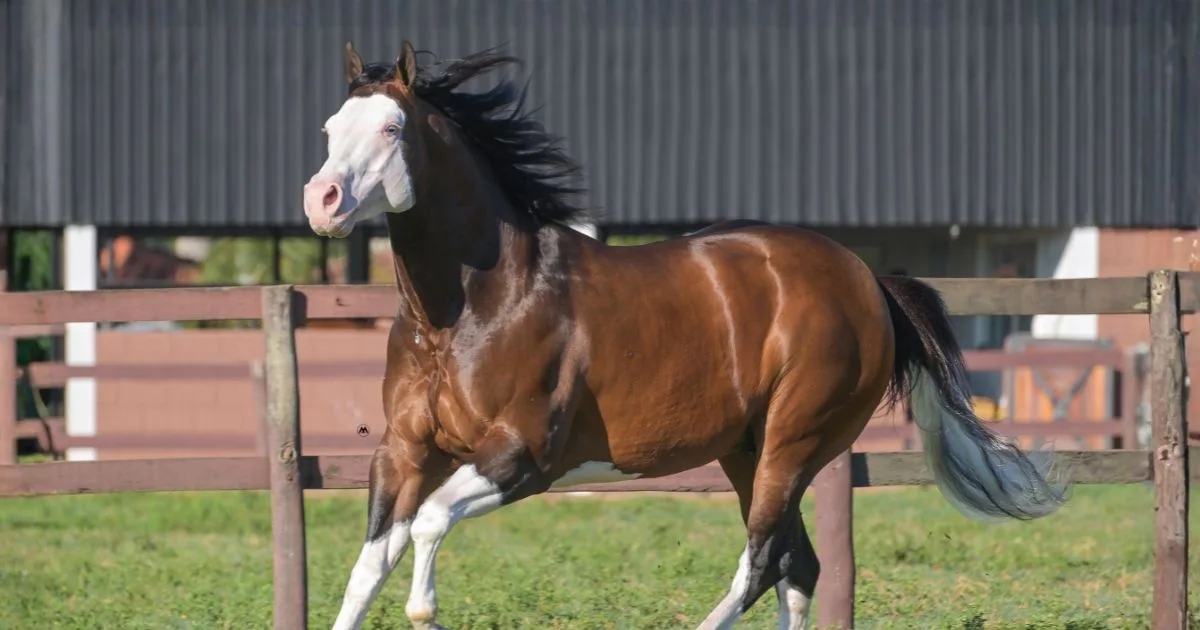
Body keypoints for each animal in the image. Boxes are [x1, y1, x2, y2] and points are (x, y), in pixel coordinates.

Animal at [301, 41, 1070, 630]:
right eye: (330, 127)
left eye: (392, 128)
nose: (322, 202)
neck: (473, 309)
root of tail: (868, 281)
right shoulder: (405, 452)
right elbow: (368, 567)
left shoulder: (524, 455)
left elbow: (428, 525)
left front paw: (425, 609)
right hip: (746, 451)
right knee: (799, 567)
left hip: (793, 444)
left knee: (763, 563)